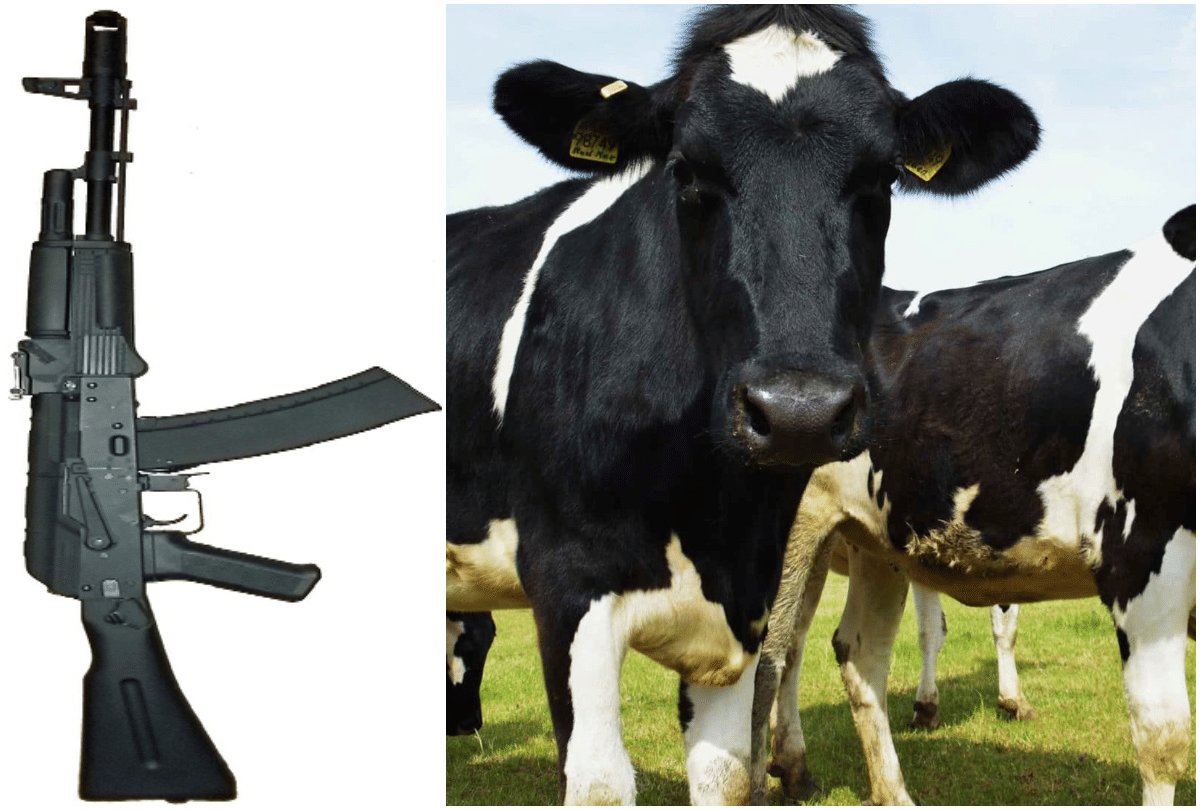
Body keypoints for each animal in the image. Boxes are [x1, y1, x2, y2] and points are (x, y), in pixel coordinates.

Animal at [447, 5, 1039, 804]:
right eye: (686, 171)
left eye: (882, 177)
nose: (798, 410)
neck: (705, 511)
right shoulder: (567, 584)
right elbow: (600, 781)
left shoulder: (750, 592)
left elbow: (728, 772)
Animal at [753, 204, 1196, 806]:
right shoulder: (1142, 554)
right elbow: (1162, 739)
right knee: (765, 658)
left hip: (874, 540)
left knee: (855, 653)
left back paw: (865, 785)